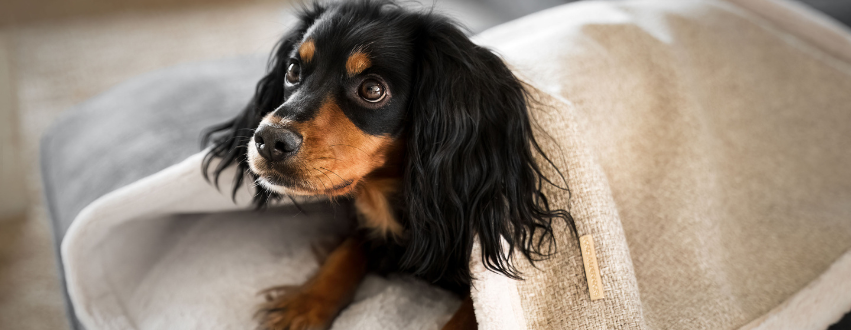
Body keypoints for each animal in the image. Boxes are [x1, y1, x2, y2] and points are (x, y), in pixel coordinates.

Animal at [201, 1, 572, 328]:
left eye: (372, 89)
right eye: (293, 70)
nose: (268, 140)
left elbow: (470, 317)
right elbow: (346, 252)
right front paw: (302, 306)